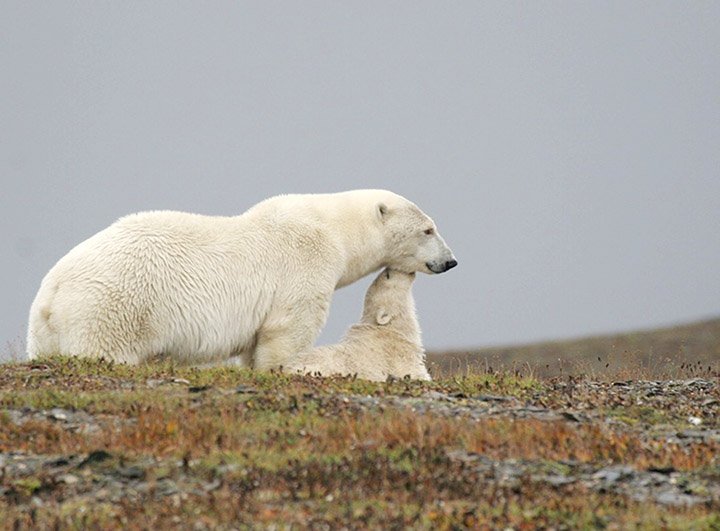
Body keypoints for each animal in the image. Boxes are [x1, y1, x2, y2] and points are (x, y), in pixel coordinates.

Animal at [28, 190, 458, 370]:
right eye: (428, 229)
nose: (450, 261)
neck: (335, 228)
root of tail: (52, 292)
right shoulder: (307, 260)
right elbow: (288, 327)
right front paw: (280, 370)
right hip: (114, 309)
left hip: (46, 332)